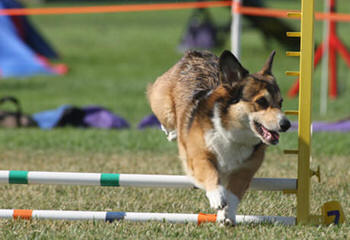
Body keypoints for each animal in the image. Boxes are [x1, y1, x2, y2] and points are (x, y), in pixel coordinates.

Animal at [147, 49, 290, 224]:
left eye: (280, 103)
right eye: (261, 101)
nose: (286, 124)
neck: (232, 134)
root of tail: (196, 53)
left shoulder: (245, 170)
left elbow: (234, 193)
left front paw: (226, 215)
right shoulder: (199, 156)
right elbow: (210, 172)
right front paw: (217, 197)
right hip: (163, 105)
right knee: (167, 120)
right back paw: (173, 133)